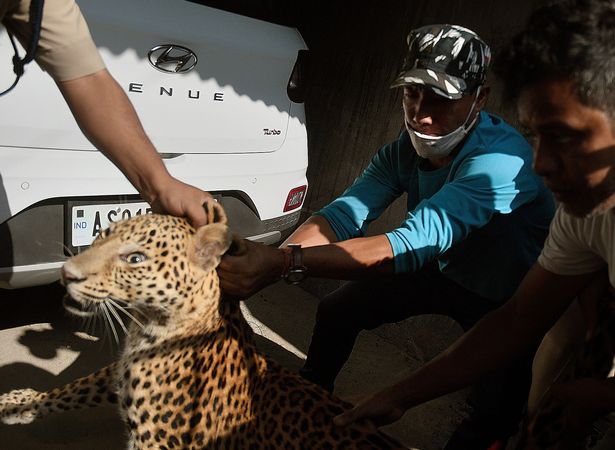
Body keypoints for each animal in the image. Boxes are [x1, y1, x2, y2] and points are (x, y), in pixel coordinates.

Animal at [0, 204, 406, 450]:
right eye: (101, 235)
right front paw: (20, 402)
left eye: (136, 259)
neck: (151, 326)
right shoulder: (120, 372)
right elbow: (74, 387)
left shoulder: (153, 441)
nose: (67, 274)